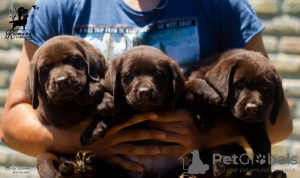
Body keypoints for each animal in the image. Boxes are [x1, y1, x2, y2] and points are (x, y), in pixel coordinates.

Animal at [25, 35, 114, 178]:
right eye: (45, 69)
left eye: (73, 60)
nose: (62, 81)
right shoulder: (55, 112)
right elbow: (78, 106)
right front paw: (102, 100)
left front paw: (94, 87)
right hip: (44, 157)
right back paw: (68, 171)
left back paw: (86, 163)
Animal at [185, 48, 284, 177]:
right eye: (239, 84)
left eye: (265, 87)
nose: (252, 108)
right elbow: (196, 85)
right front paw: (205, 114)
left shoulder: (254, 124)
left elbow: (263, 144)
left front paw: (262, 171)